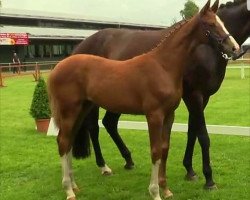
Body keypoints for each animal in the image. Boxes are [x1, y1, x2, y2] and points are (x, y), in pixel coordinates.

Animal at [47, 1, 239, 198]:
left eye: (222, 22)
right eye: (211, 24)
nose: (234, 48)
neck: (163, 66)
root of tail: (57, 67)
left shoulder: (169, 115)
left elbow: (164, 149)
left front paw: (166, 189)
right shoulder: (154, 115)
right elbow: (155, 151)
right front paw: (155, 192)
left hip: (82, 109)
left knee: (69, 142)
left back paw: (74, 185)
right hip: (69, 111)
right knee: (63, 142)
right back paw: (69, 189)